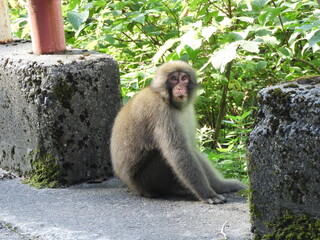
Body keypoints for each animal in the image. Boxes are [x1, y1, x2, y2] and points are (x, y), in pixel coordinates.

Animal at [110, 60, 245, 204]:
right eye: (173, 79)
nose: (180, 88)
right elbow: (178, 151)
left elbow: (190, 149)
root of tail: (132, 186)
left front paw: (222, 187)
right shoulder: (161, 111)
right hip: (146, 179)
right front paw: (208, 194)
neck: (165, 98)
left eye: (184, 78)